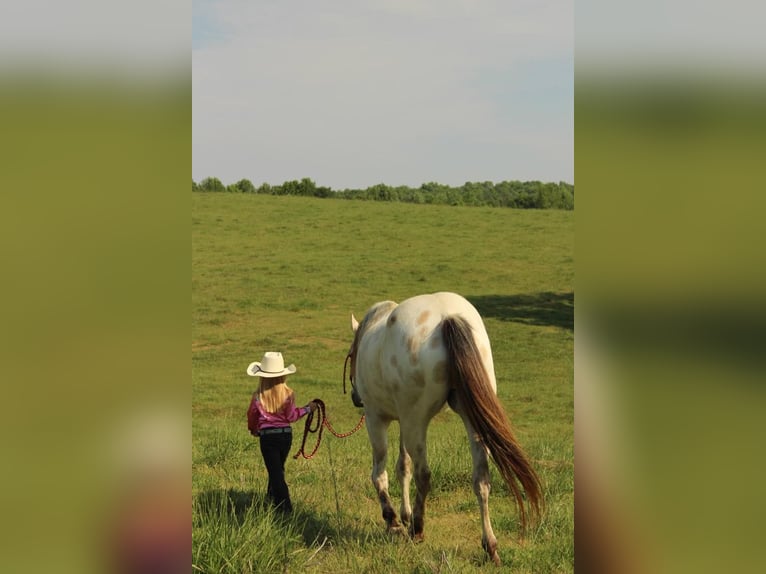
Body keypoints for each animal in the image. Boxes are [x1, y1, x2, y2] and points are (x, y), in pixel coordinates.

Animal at [348, 292, 544, 568]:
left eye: (350, 354)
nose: (355, 397)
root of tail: (446, 317)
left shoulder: (377, 419)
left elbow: (380, 474)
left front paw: (394, 521)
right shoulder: (404, 421)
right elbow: (403, 468)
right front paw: (404, 514)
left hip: (415, 421)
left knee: (424, 475)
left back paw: (417, 529)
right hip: (464, 423)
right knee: (481, 480)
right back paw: (490, 546)